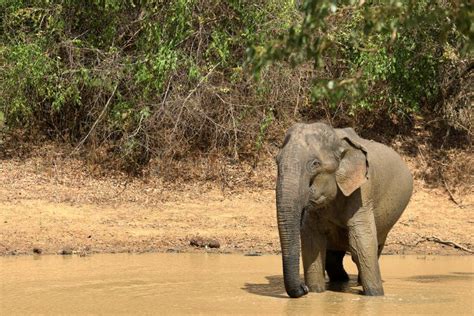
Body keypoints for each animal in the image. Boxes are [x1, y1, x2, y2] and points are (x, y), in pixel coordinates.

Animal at [276, 122, 412, 298]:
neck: (338, 140)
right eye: (276, 161)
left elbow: (361, 244)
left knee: (376, 246)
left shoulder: (362, 192)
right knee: (334, 256)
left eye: (315, 164)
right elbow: (312, 242)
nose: (303, 288)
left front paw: (375, 295)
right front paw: (315, 291)